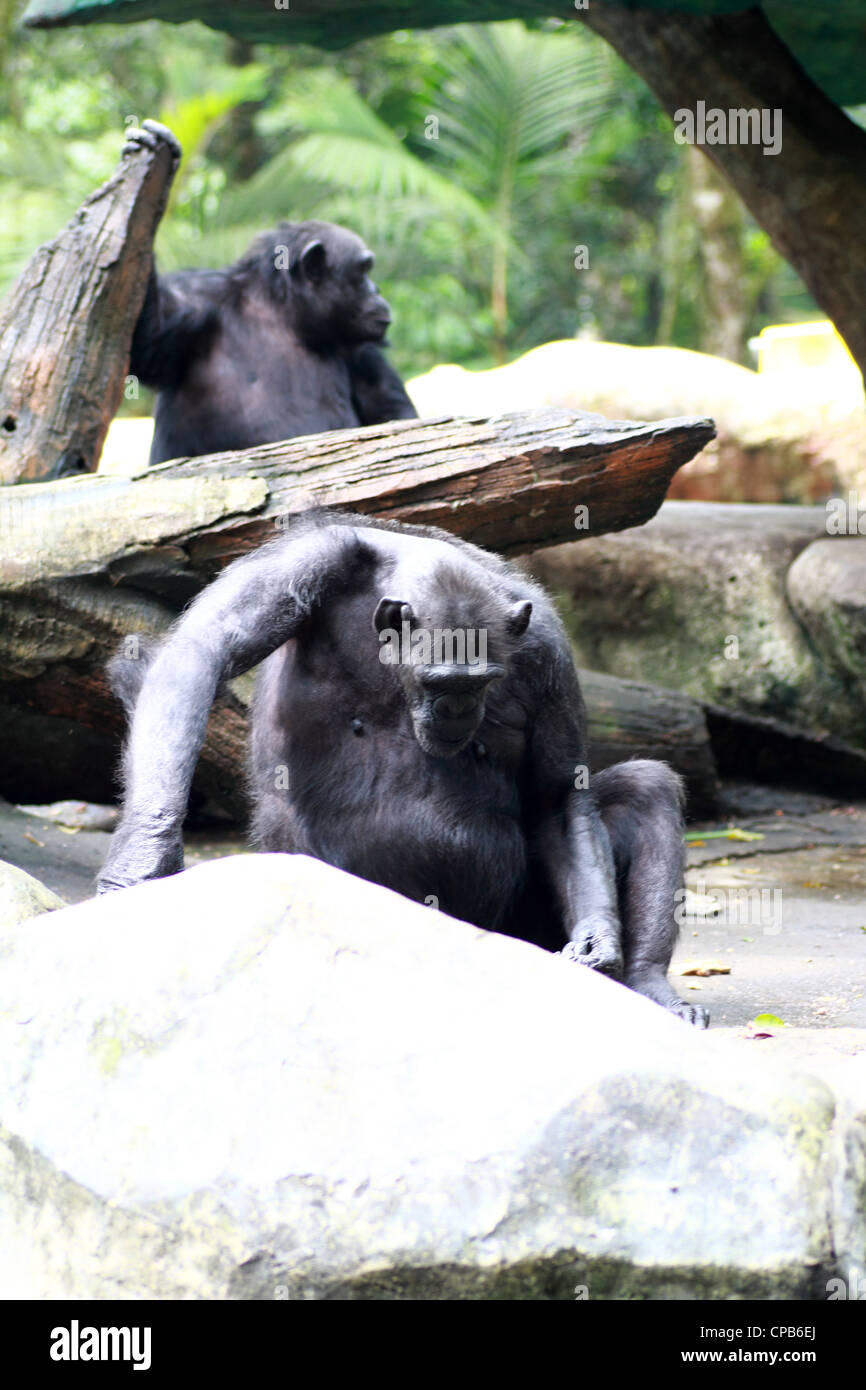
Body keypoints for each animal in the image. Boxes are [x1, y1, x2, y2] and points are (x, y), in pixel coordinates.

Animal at [100, 514, 711, 1034]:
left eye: (481, 681)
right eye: (441, 681)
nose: (459, 710)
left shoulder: (550, 650)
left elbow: (557, 794)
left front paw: (596, 939)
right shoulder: (304, 563)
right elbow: (204, 650)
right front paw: (145, 855)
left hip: (523, 934)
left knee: (647, 789)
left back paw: (650, 987)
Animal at [123, 120, 419, 467]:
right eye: (362, 271)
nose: (376, 289)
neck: (286, 318)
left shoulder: (364, 353)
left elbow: (392, 412)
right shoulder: (193, 304)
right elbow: (142, 338)